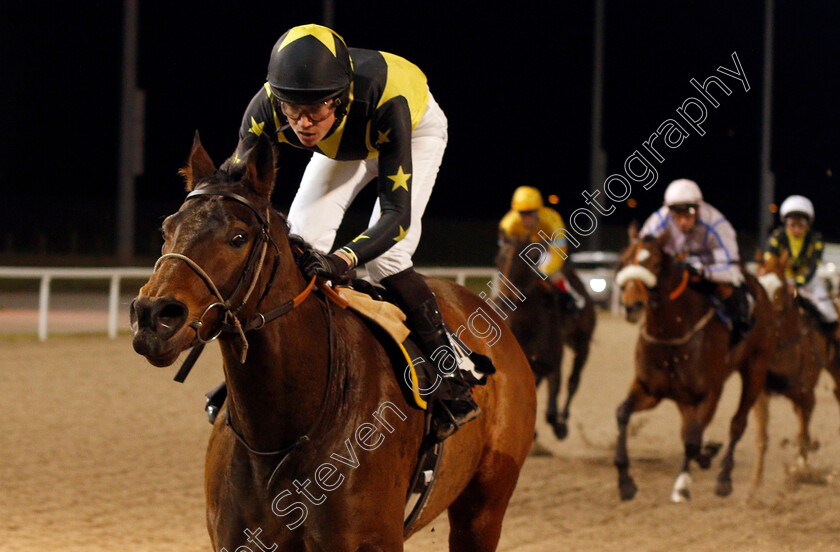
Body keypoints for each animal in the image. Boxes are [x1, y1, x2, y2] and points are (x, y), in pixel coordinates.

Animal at [492, 237, 596, 440]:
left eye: (530, 259)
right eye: (498, 259)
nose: (504, 299)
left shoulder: (553, 361)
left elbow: (551, 406)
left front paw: (559, 427)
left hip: (583, 344)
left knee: (573, 381)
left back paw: (564, 418)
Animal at [612, 229, 776, 500]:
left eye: (655, 264)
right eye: (624, 260)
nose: (631, 305)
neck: (672, 333)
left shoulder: (709, 393)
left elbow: (691, 438)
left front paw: (681, 486)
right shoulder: (649, 389)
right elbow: (623, 413)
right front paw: (625, 481)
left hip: (755, 368)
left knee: (736, 424)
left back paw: (724, 478)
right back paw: (707, 453)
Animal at [756, 250, 840, 488]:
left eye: (781, 289)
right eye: (758, 285)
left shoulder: (806, 392)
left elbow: (803, 433)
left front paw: (803, 469)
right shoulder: (762, 394)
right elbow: (762, 438)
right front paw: (755, 486)